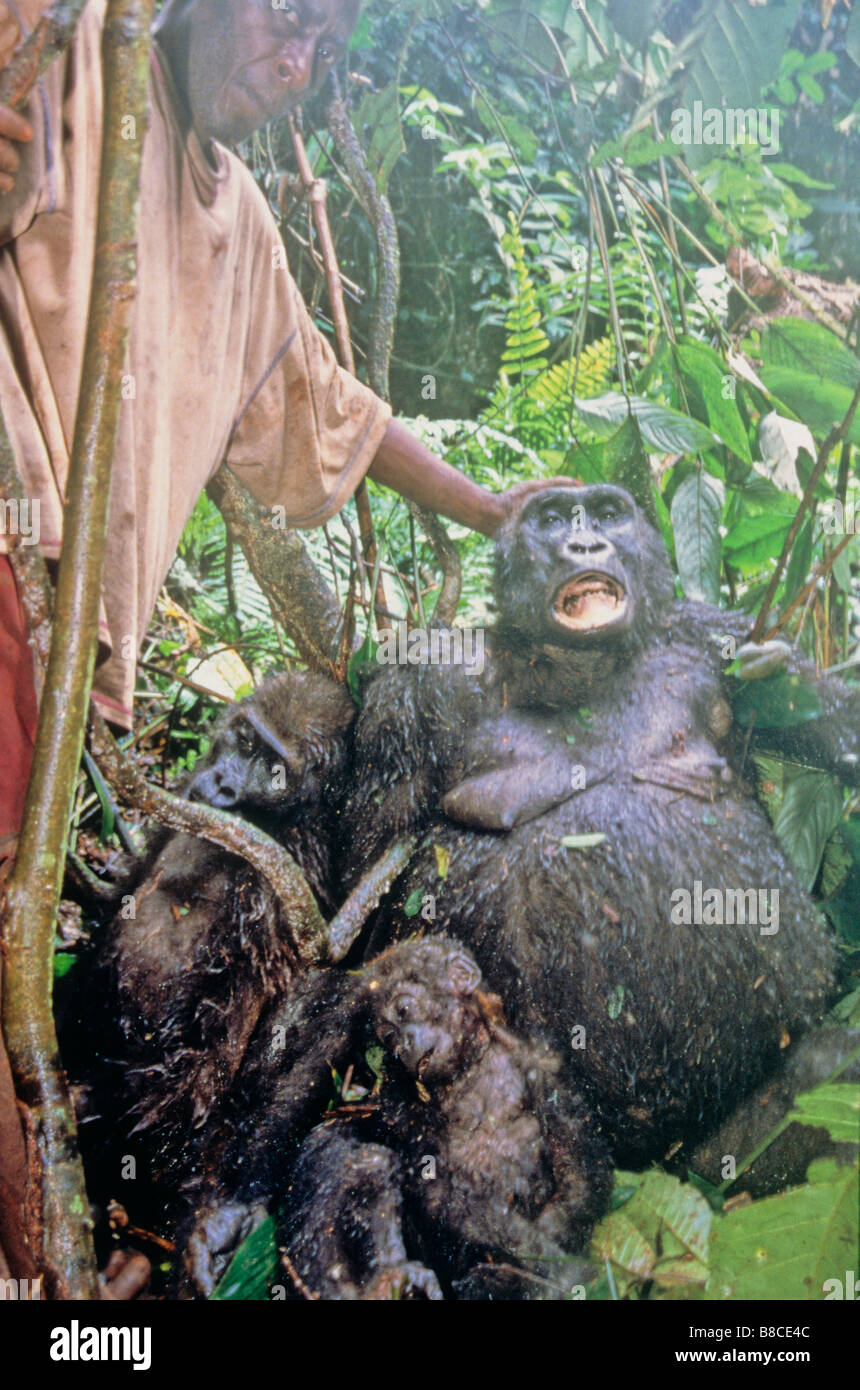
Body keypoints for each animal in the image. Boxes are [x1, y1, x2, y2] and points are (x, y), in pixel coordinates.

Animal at [344, 483, 860, 1167]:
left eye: (609, 514)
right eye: (551, 519)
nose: (586, 543)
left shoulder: (714, 633)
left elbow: (840, 731)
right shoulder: (416, 684)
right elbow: (367, 883)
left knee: (830, 1067)